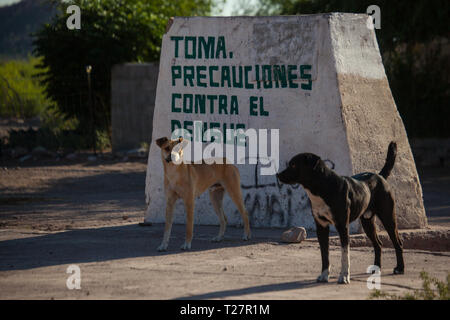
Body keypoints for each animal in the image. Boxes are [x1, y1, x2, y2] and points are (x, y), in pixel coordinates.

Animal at [276, 144, 406, 284]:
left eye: (294, 165)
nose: (277, 174)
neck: (322, 187)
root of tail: (380, 176)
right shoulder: (321, 227)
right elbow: (324, 255)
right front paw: (324, 275)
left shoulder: (343, 226)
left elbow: (345, 255)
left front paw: (344, 276)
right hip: (367, 222)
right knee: (378, 245)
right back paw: (376, 268)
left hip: (388, 218)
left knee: (398, 243)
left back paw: (400, 268)